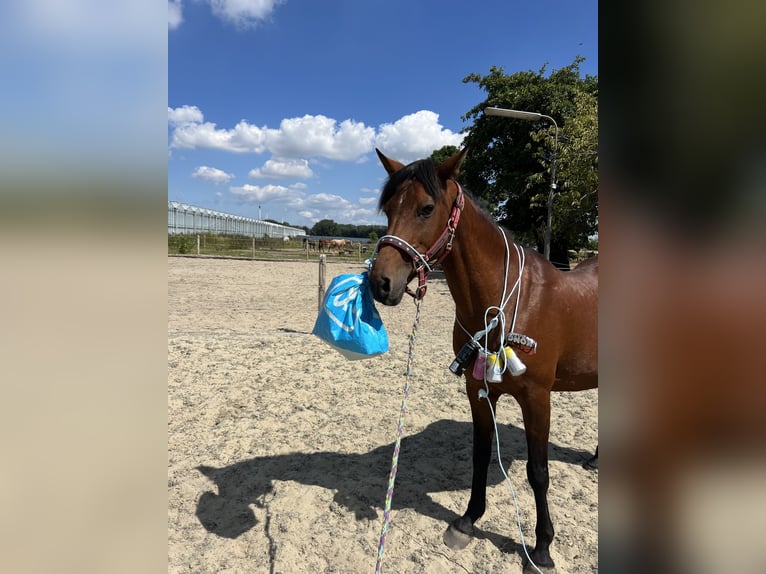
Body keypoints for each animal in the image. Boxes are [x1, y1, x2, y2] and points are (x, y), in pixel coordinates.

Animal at [368, 150, 600, 574]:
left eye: (427, 208)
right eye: (388, 208)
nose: (381, 283)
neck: (506, 304)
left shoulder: (537, 398)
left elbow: (538, 472)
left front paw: (542, 548)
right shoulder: (479, 390)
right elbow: (480, 456)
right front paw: (468, 520)